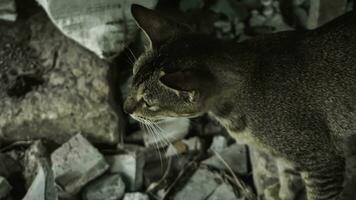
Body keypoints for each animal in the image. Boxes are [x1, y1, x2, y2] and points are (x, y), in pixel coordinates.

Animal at [123, 4, 356, 200]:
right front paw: (282, 194)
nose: (126, 109)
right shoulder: (283, 155)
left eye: (148, 102)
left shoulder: (322, 162)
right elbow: (286, 176)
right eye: (132, 78)